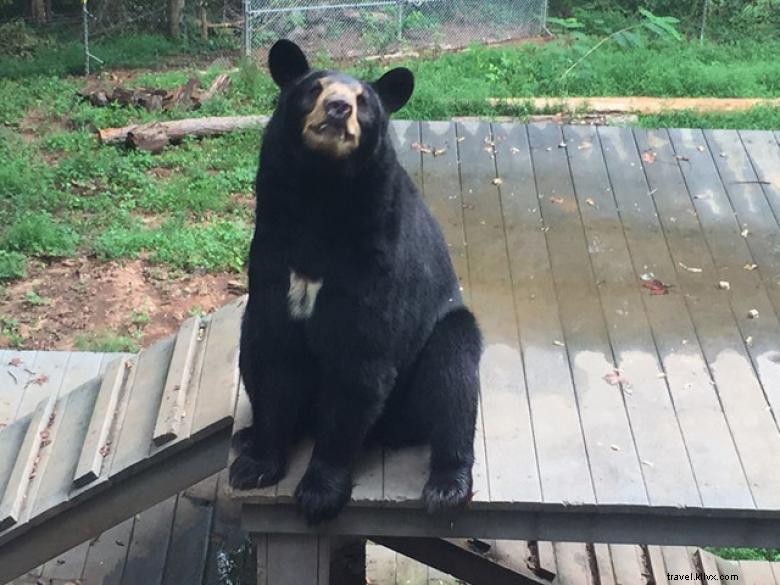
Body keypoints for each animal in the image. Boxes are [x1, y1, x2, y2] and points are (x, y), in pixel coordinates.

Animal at [229, 41, 482, 524]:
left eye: (364, 100)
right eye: (314, 88)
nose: (339, 107)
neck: (321, 192)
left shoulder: (375, 259)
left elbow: (360, 363)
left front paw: (319, 491)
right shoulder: (272, 252)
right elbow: (272, 354)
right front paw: (255, 465)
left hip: (442, 339)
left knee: (454, 378)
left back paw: (446, 485)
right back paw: (245, 436)